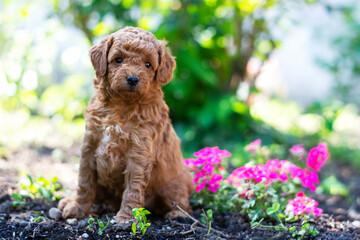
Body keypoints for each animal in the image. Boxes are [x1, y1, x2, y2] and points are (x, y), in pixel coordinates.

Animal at [58, 26, 194, 223]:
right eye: (118, 60)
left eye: (148, 64)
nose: (132, 79)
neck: (120, 105)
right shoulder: (89, 144)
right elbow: (84, 181)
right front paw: (77, 208)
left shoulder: (139, 152)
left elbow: (133, 188)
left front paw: (127, 218)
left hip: (174, 183)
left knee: (182, 202)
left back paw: (176, 214)